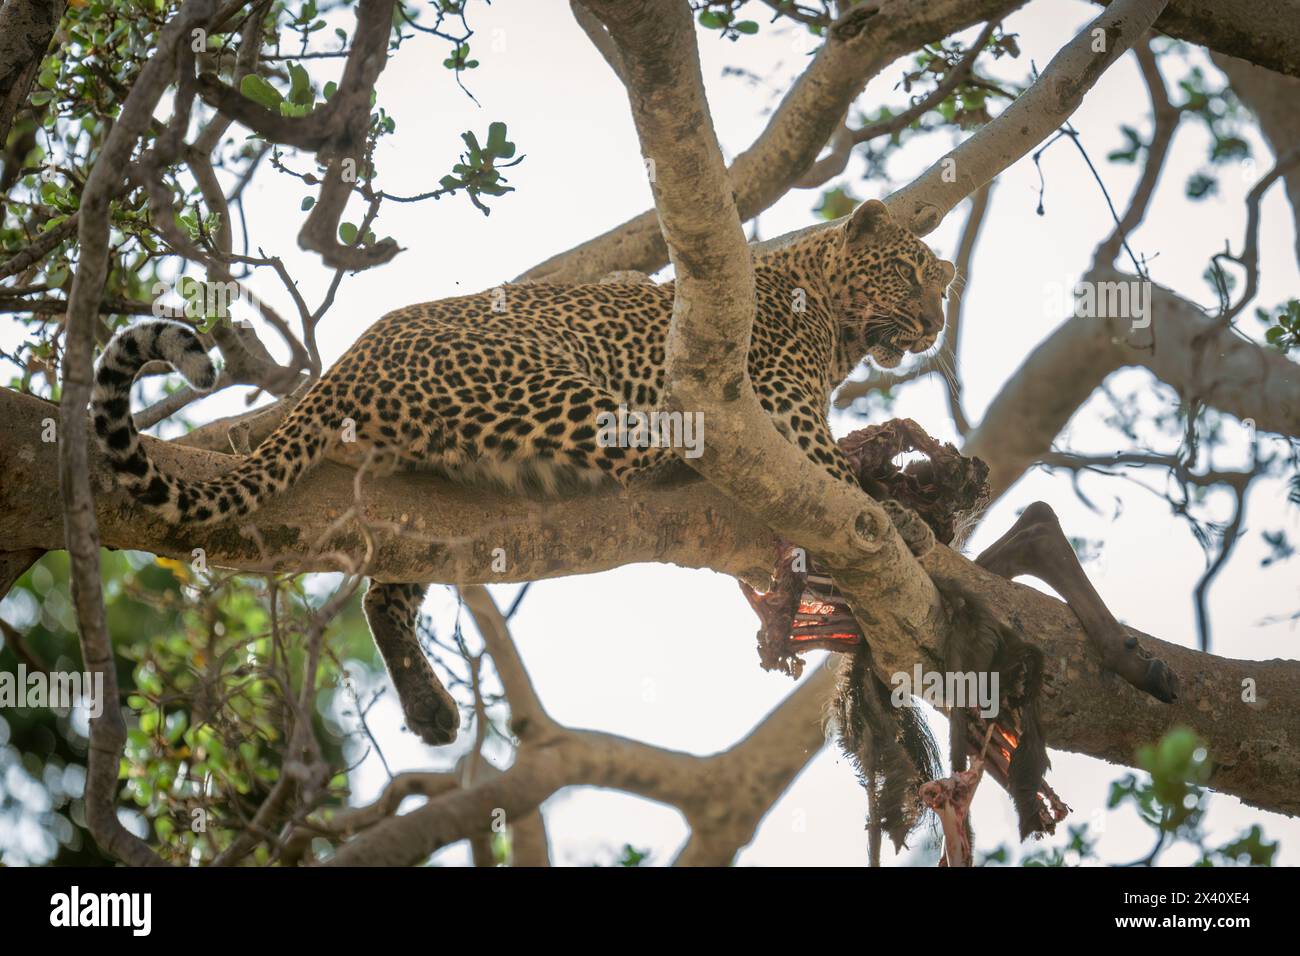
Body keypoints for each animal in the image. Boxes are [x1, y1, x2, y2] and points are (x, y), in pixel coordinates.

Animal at [91, 200, 956, 749]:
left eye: (938, 287)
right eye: (909, 273)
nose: (934, 323)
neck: (839, 330)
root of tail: (344, 364)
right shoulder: (782, 406)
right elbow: (838, 475)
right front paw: (906, 515)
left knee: (383, 594)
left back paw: (430, 711)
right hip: (549, 382)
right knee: (643, 445)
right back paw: (687, 454)